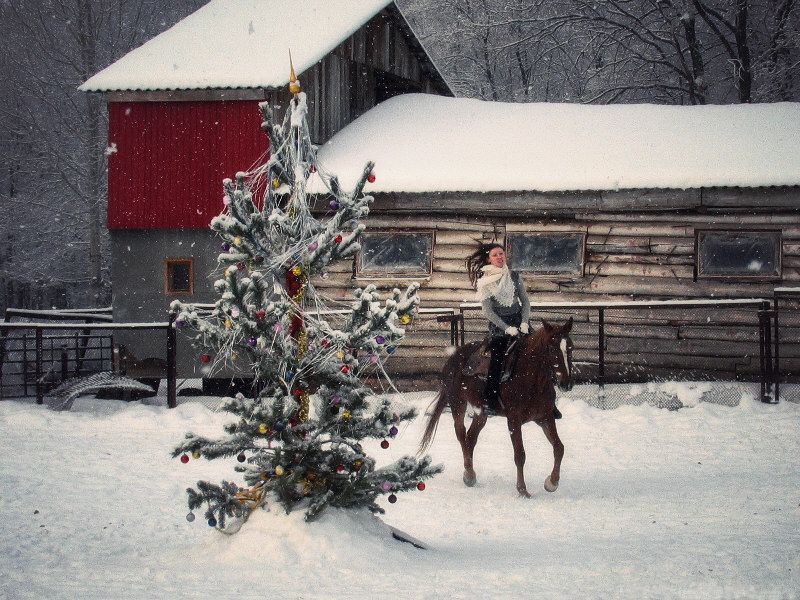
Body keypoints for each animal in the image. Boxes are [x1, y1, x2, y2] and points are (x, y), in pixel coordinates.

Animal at [418, 318, 576, 496]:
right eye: (551, 348)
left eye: (571, 347)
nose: (566, 384)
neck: (531, 378)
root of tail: (453, 358)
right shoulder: (513, 420)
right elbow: (520, 455)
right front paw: (522, 490)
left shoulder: (545, 417)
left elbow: (559, 448)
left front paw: (552, 483)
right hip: (458, 403)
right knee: (461, 434)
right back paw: (469, 474)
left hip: (481, 412)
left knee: (471, 437)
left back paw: (470, 476)